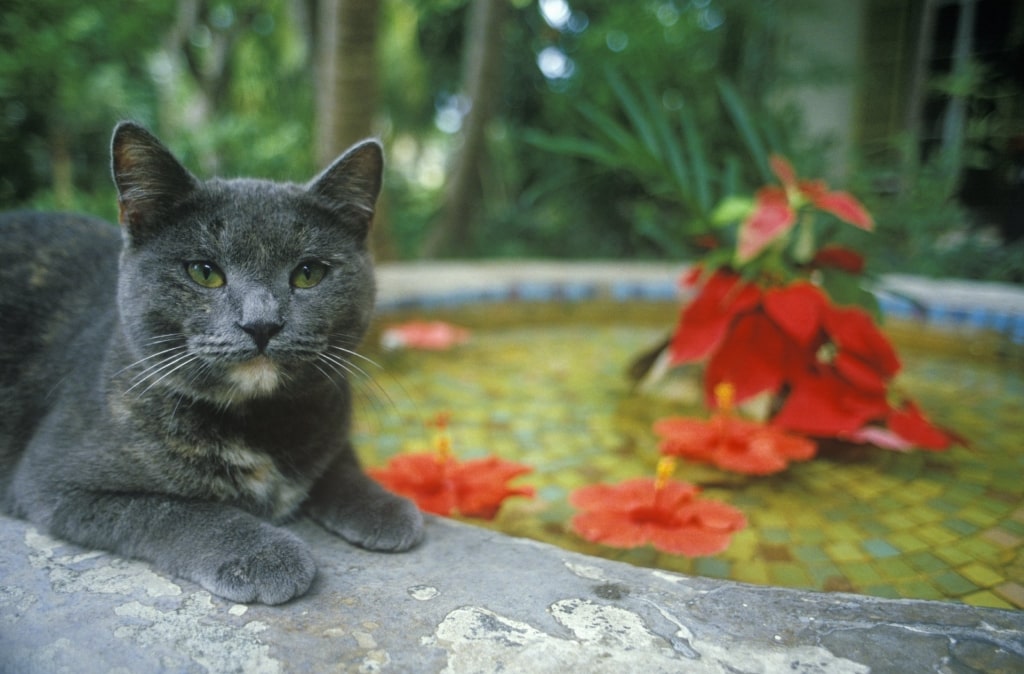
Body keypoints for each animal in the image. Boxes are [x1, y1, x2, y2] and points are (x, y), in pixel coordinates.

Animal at [0, 121, 423, 602]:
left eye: (308, 273)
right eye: (204, 272)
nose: (261, 322)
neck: (260, 425)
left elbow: (337, 461)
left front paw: (382, 505)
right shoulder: (54, 481)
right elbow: (176, 509)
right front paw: (263, 555)